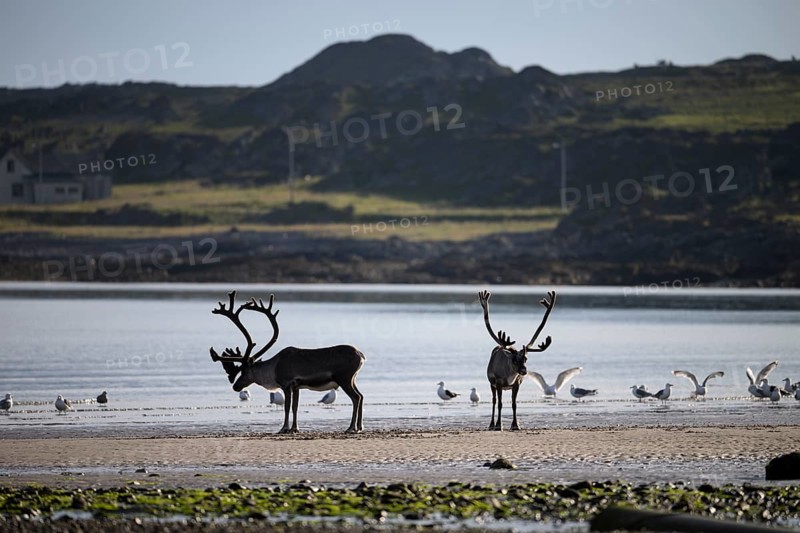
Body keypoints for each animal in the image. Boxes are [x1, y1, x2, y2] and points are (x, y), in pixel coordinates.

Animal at [209, 291, 365, 434]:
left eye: (244, 371)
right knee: (361, 396)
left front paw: (283, 428)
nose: (235, 386)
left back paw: (351, 427)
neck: (273, 368)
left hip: (344, 378)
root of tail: (361, 356)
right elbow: (295, 407)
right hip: (352, 379)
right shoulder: (297, 386)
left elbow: (287, 407)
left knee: (356, 397)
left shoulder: (286, 383)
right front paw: (294, 428)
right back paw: (360, 426)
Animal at [478, 289, 557, 431]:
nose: (524, 371)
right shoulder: (498, 383)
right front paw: (499, 425)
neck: (510, 376)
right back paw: (491, 424)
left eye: (526, 358)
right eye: (514, 359)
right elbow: (500, 404)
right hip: (491, 384)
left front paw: (515, 425)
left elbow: (514, 404)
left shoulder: (517, 384)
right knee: (494, 401)